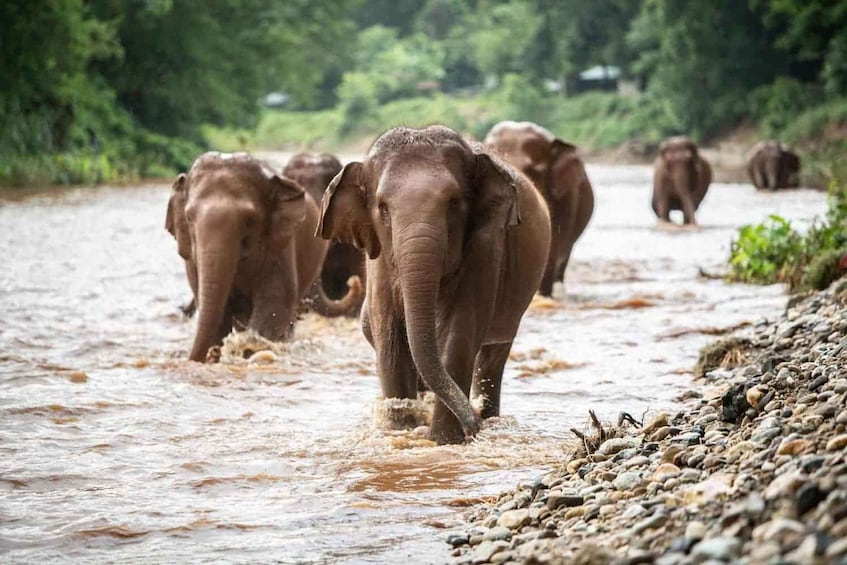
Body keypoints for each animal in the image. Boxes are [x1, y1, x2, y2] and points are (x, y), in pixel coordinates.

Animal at [317, 125, 551, 444]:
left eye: (453, 203)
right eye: (383, 209)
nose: (473, 426)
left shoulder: (486, 247)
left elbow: (461, 330)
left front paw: (444, 440)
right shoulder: (379, 259)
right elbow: (389, 334)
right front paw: (400, 430)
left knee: (494, 354)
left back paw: (487, 415)